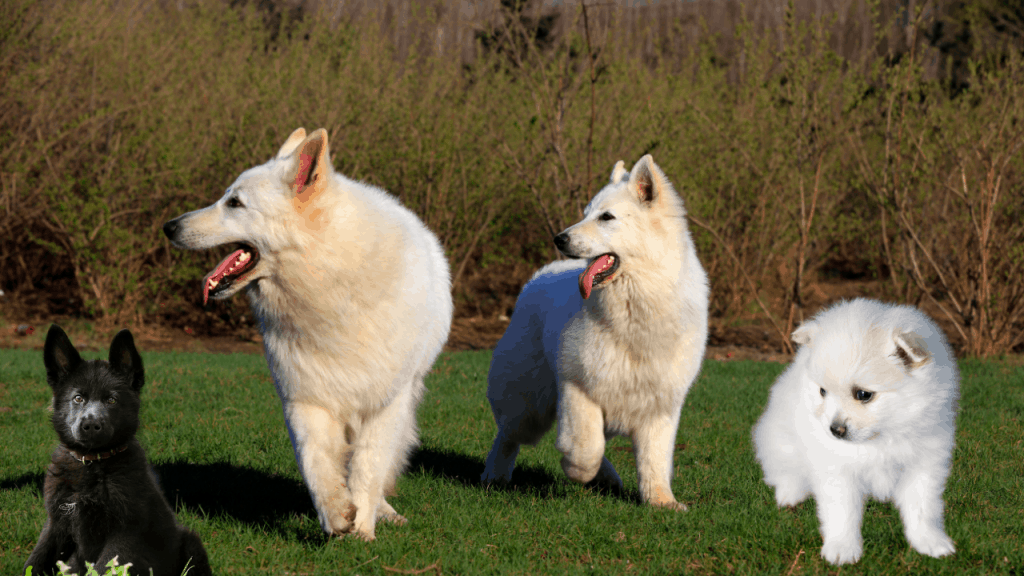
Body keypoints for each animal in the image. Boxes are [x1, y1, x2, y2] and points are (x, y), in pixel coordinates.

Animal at [24, 325, 211, 573]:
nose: (90, 425)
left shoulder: (125, 532)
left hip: (190, 544)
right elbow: (35, 560)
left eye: (111, 400)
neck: (92, 463)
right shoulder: (56, 523)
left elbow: (104, 567)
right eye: (78, 398)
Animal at [753, 297, 958, 561]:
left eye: (863, 394)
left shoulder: (924, 462)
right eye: (823, 391)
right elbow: (843, 511)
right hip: (780, 437)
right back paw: (790, 495)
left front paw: (931, 543)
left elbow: (923, 506)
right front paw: (842, 549)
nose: (835, 430)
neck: (882, 436)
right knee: (783, 468)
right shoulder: (837, 468)